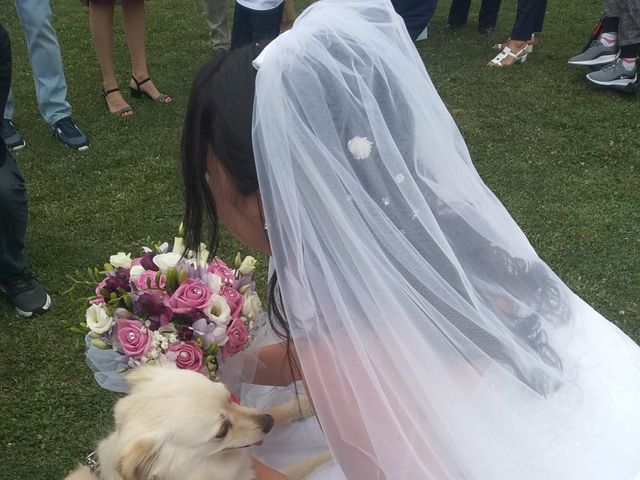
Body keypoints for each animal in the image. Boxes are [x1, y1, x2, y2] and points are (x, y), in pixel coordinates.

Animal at [65, 366, 330, 478]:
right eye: (221, 431)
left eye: (229, 396)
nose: (268, 423)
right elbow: (309, 463)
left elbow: (283, 408)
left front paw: (314, 401)